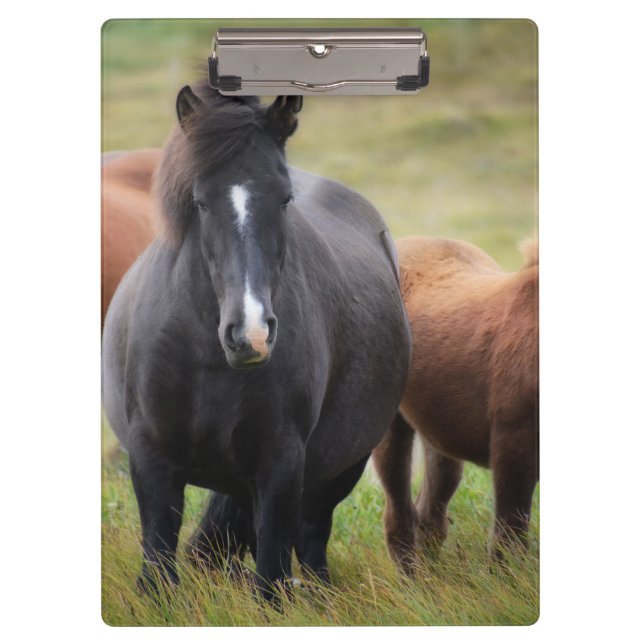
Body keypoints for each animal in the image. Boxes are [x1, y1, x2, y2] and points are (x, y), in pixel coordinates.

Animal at [372, 236, 538, 573]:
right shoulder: (514, 441)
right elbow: (509, 537)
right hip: (391, 425)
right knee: (399, 514)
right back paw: (412, 582)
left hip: (439, 432)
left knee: (429, 514)